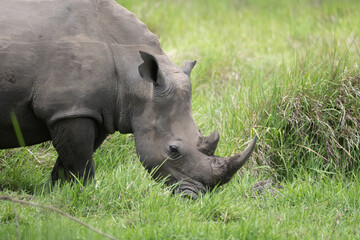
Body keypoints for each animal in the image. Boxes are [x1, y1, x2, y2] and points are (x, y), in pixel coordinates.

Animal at [0, 0, 256, 199]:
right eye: (173, 150)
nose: (195, 197)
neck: (134, 75)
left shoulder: (94, 110)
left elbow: (71, 160)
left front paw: (57, 193)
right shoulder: (69, 109)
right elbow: (81, 163)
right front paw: (80, 195)